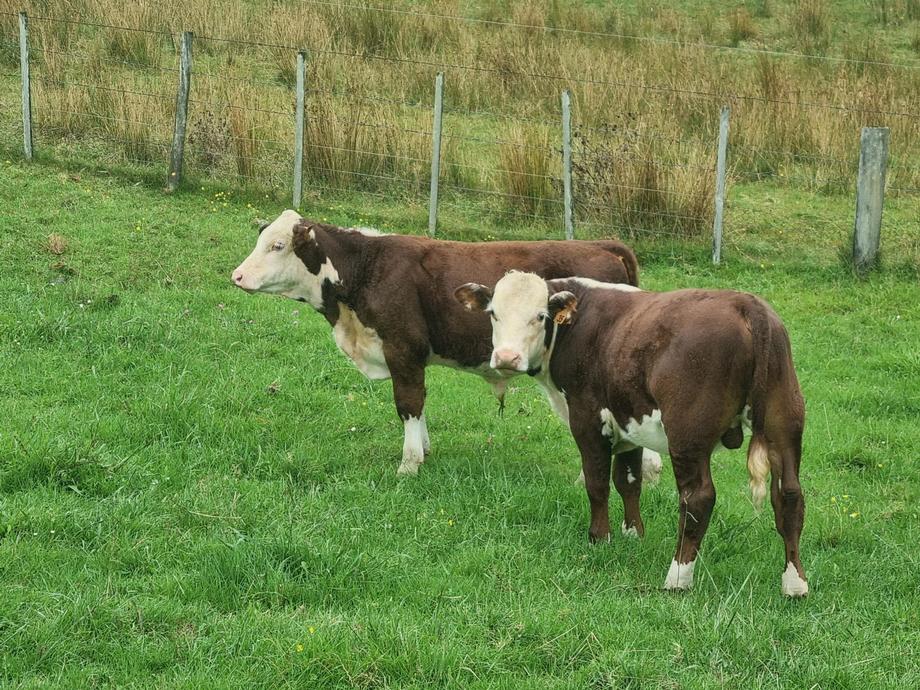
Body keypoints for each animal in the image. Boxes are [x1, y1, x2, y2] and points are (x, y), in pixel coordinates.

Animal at [231, 210, 662, 478]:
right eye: (262, 239)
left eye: (278, 246)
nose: (236, 275)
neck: (366, 268)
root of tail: (602, 243)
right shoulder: (413, 357)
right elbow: (420, 406)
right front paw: (424, 451)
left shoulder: (402, 349)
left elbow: (407, 404)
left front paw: (409, 464)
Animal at [455, 271, 808, 597]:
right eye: (493, 313)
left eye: (540, 316)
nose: (507, 357)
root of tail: (747, 304)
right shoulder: (628, 422)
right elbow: (628, 481)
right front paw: (633, 534)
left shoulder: (588, 418)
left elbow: (597, 483)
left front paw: (600, 538)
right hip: (784, 423)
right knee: (789, 495)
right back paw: (794, 584)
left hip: (688, 435)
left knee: (698, 499)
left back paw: (677, 578)